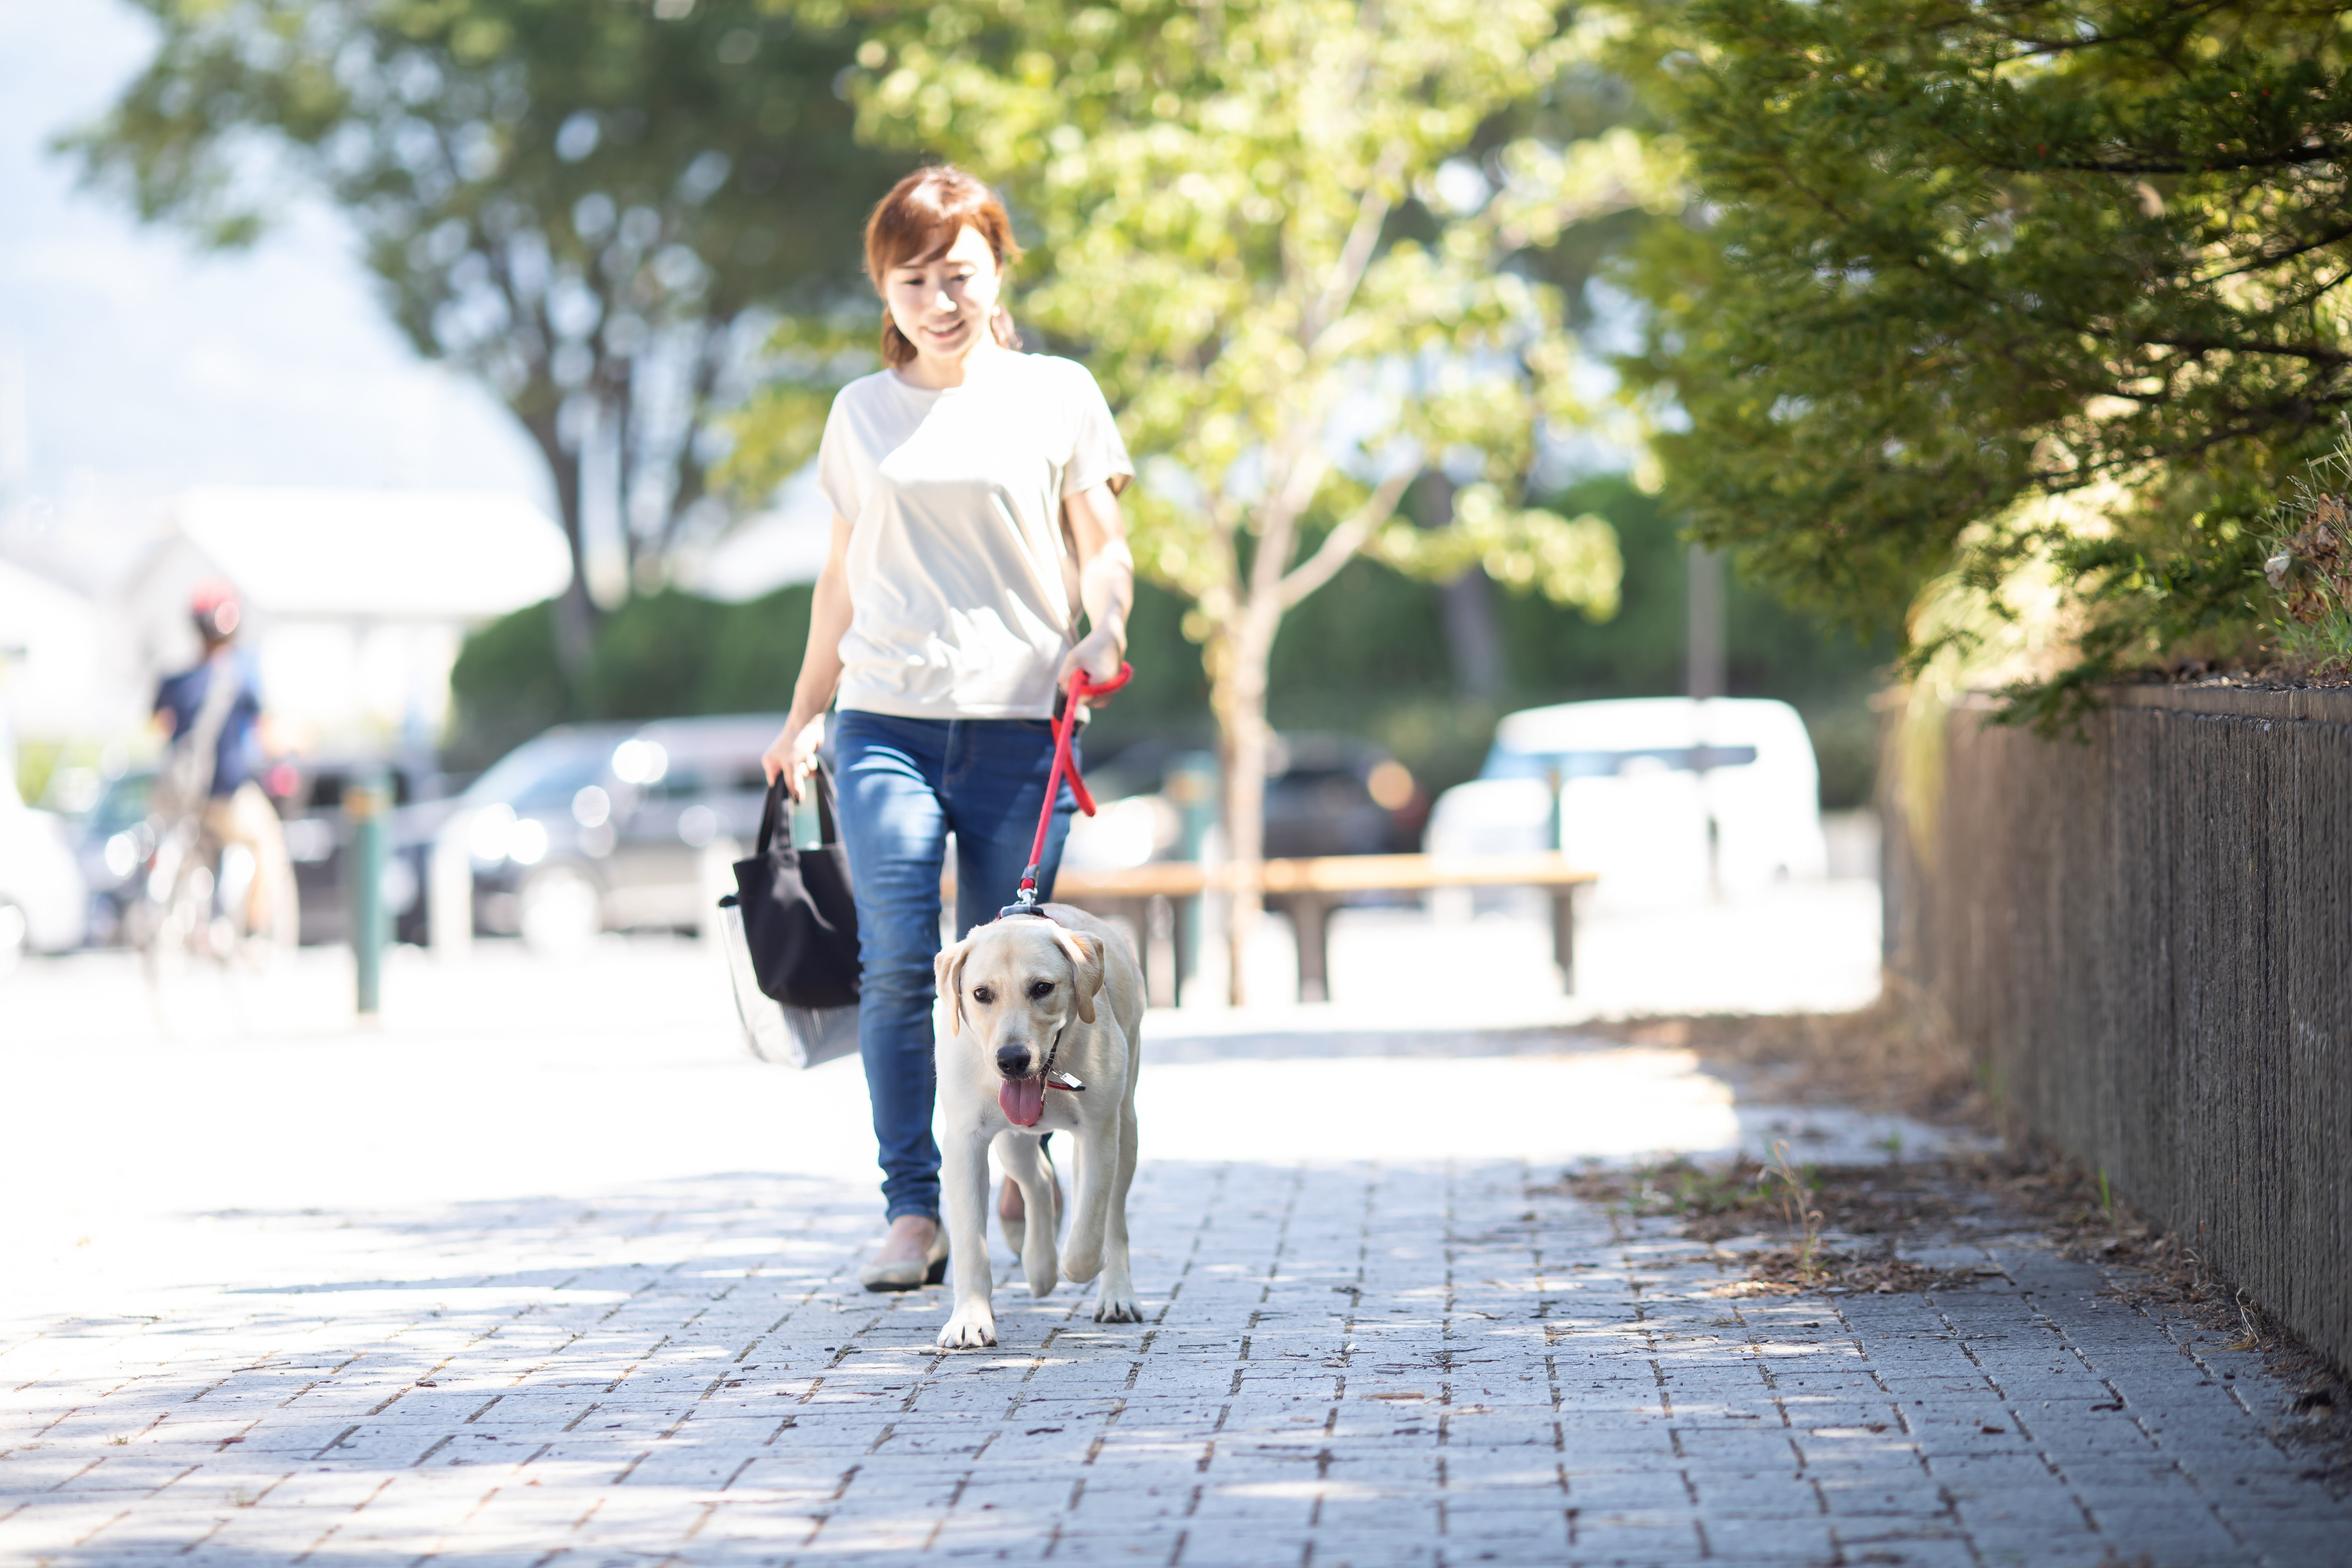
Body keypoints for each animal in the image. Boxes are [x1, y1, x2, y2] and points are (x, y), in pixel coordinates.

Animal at [941, 907, 1152, 1354]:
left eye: (1042, 988)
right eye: (981, 994)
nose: (1011, 1059)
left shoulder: (1099, 1132)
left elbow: (1089, 1230)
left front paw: (1084, 1263)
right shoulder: (964, 1141)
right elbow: (969, 1244)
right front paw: (970, 1320)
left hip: (1126, 1128)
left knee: (1114, 1217)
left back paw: (1116, 1292)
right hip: (1011, 1140)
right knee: (1037, 1180)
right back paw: (1039, 1265)